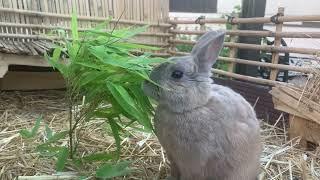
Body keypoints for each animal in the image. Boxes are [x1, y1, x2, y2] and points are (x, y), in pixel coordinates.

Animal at [144, 30, 262, 179]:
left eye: (177, 74)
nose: (145, 82)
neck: (192, 108)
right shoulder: (173, 158)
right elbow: (174, 171)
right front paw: (169, 178)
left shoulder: (191, 164)